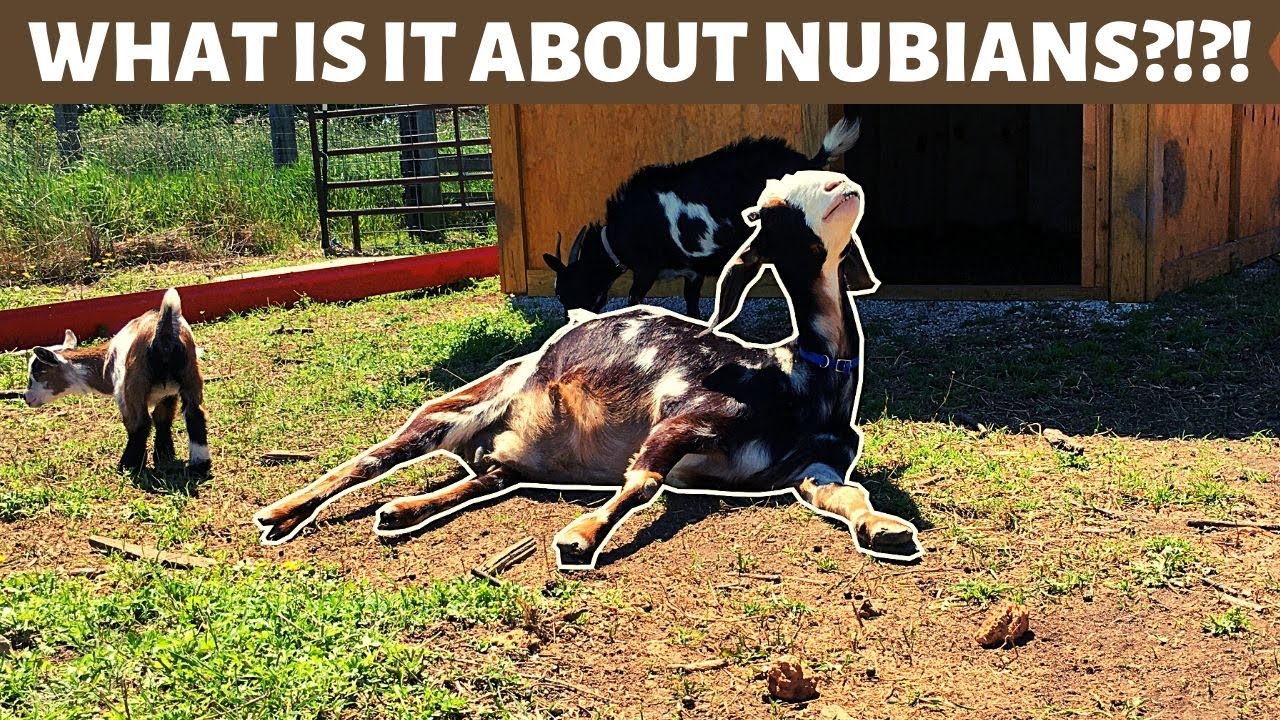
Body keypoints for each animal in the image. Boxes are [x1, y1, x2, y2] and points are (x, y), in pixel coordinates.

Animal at [23, 288, 211, 474]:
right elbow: (163, 419)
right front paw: (164, 455)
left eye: (37, 373)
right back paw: (200, 464)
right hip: (191, 374)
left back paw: (127, 466)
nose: (27, 397)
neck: (105, 363)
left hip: (133, 385)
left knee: (140, 423)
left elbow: (137, 423)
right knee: (195, 414)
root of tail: (164, 332)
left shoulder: (123, 394)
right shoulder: (168, 394)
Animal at [255, 170, 920, 569]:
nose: (841, 183)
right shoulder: (686, 418)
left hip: (509, 458)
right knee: (370, 458)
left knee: (486, 476)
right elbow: (643, 481)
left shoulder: (810, 467)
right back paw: (283, 512)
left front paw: (884, 528)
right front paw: (584, 533)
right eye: (771, 207)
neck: (797, 374)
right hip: (452, 406)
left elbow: (849, 494)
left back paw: (404, 511)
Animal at [542, 117, 862, 320]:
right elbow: (692, 303)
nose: (570, 321)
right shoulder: (691, 271)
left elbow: (634, 299)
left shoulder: (646, 269)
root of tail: (808, 162)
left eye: (566, 291)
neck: (622, 233)